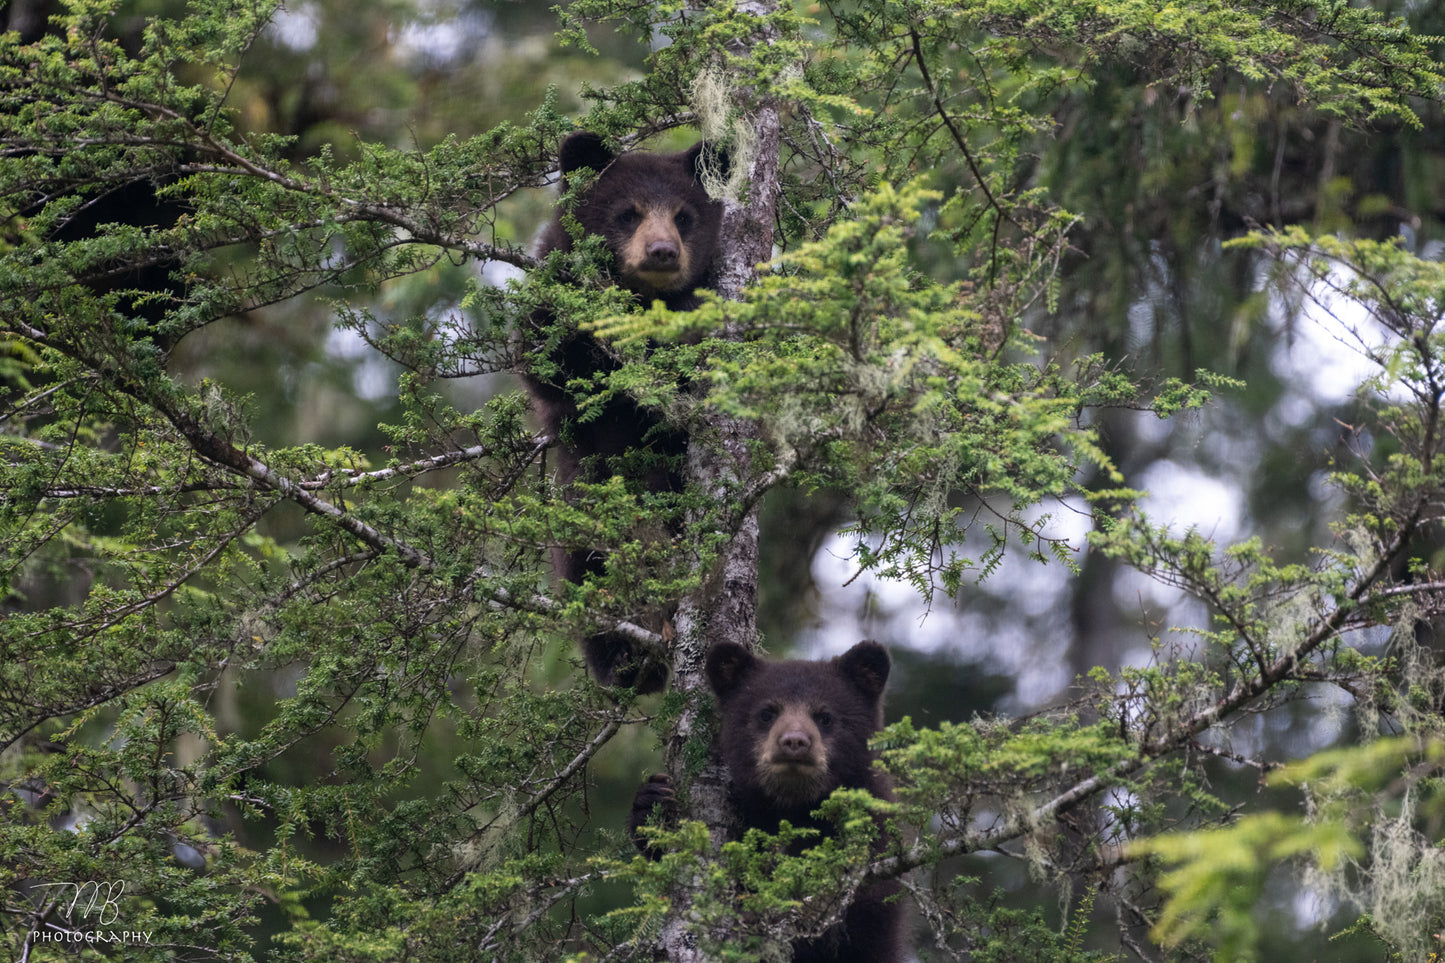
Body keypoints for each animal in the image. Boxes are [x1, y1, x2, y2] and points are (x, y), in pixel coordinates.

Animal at [520, 130, 729, 694]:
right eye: (628, 213)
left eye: (683, 216)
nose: (662, 252)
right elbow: (546, 361)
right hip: (584, 512)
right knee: (585, 576)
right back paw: (624, 659)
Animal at [628, 640, 907, 963]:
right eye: (767, 713)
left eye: (824, 716)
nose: (794, 742)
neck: (793, 809)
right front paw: (654, 803)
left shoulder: (872, 835)